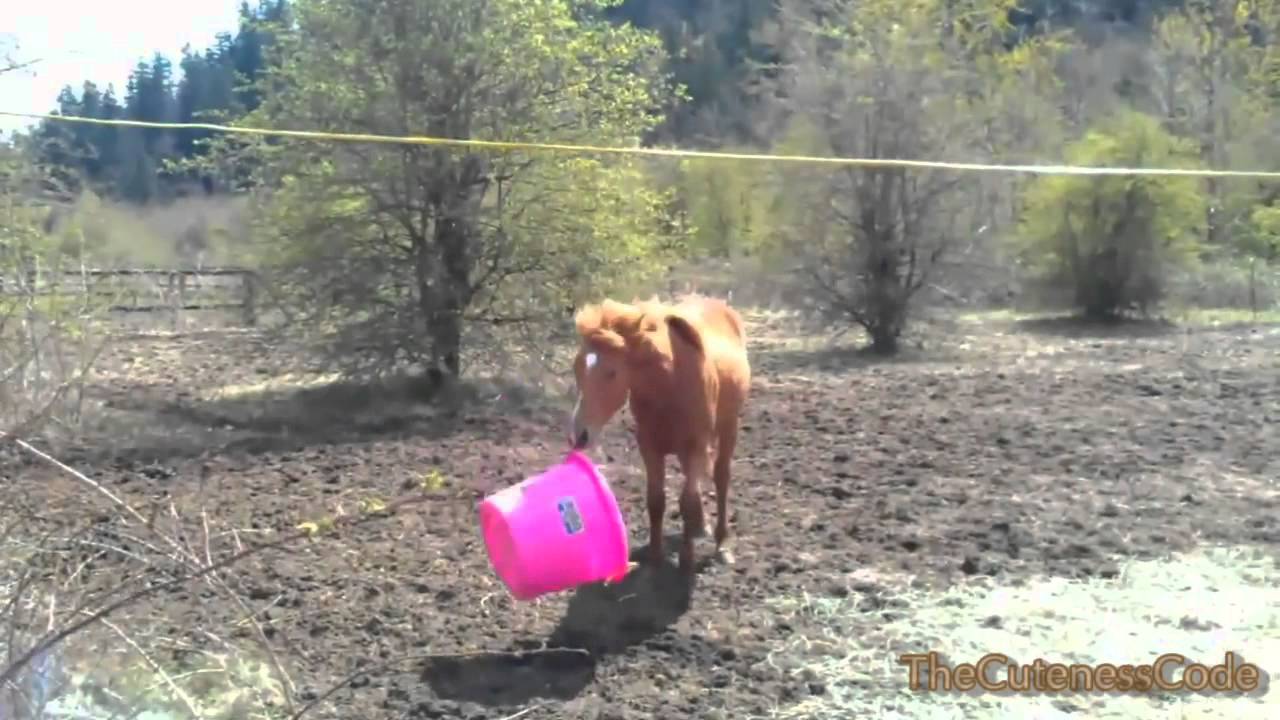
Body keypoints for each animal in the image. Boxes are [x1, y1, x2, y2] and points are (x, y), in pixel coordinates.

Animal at [568, 294, 751, 576]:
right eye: (577, 368)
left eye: (612, 372)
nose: (580, 435)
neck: (669, 383)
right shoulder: (650, 447)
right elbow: (656, 500)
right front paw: (655, 556)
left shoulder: (695, 446)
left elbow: (686, 502)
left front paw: (686, 560)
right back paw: (700, 527)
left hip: (728, 427)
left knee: (721, 478)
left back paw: (721, 544)